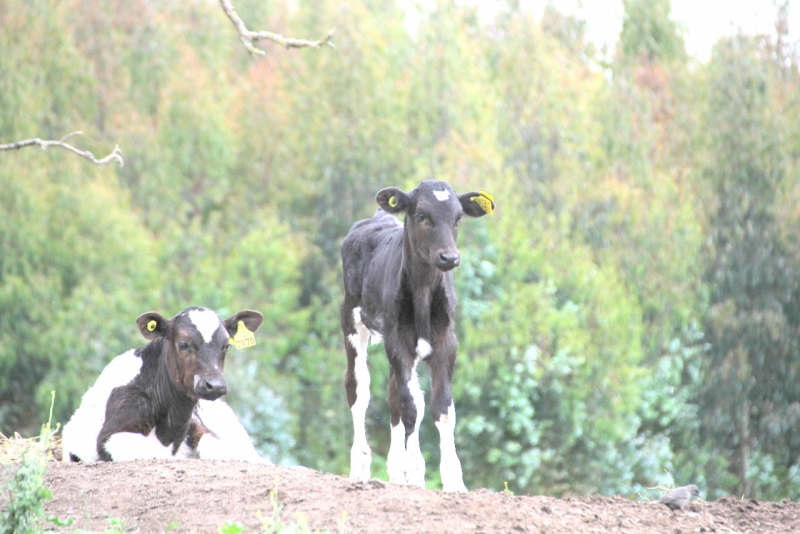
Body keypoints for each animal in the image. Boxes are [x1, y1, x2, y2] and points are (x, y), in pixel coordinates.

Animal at [340, 181, 494, 494]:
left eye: (458, 218)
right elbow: (412, 405)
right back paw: (360, 466)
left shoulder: (447, 341)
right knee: (358, 388)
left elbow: (441, 406)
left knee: (392, 396)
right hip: (350, 318)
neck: (423, 293)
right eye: (422, 215)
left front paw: (453, 480)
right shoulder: (399, 342)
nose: (449, 257)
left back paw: (395, 472)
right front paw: (415, 472)